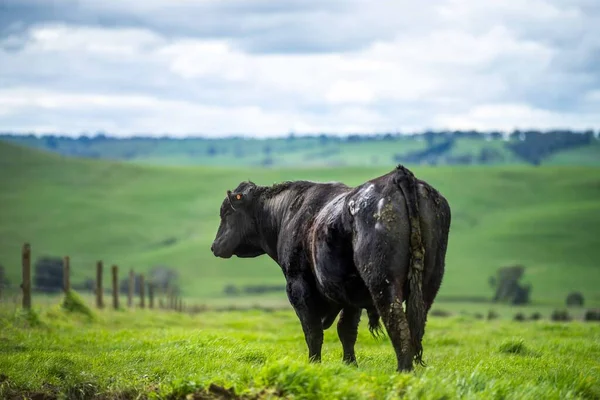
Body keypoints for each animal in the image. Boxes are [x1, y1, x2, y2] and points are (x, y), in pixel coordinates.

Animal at [211, 164, 450, 370]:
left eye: (226, 213)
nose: (214, 246)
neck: (288, 212)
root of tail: (397, 176)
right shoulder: (350, 291)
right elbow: (346, 330)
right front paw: (350, 365)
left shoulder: (298, 285)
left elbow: (312, 331)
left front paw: (314, 364)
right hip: (429, 283)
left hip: (383, 281)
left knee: (397, 324)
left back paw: (403, 370)